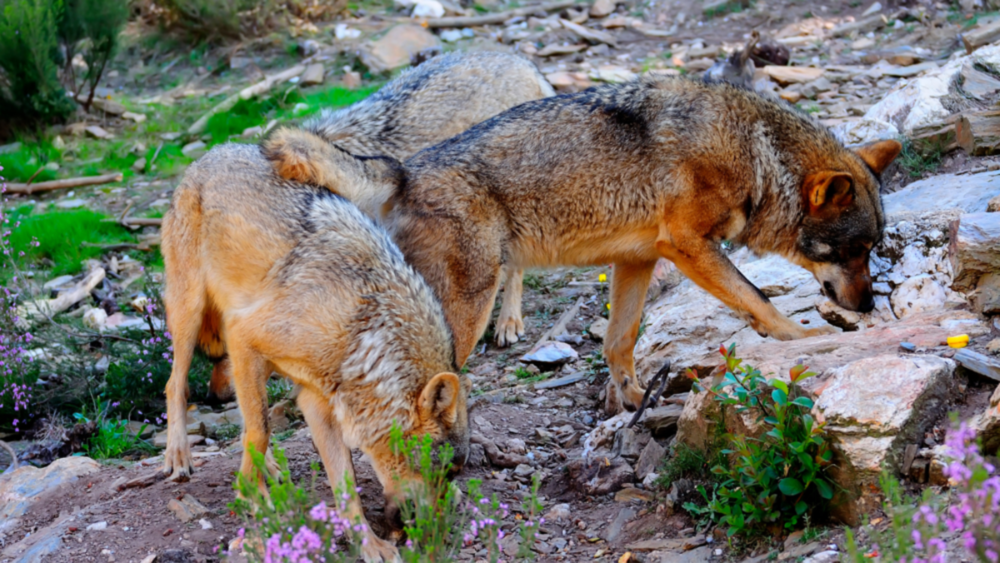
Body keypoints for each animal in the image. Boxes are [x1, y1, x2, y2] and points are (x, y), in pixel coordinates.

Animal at [161, 143, 468, 560]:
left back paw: (269, 468)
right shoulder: (244, 336)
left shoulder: (316, 400)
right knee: (177, 385)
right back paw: (179, 454)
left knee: (244, 414)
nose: (432, 537)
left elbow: (345, 483)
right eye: (443, 472)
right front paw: (253, 501)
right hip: (190, 316)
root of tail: (214, 152)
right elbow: (260, 431)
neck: (362, 322)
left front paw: (368, 543)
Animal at [262, 76, 904, 414]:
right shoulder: (688, 246)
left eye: (872, 249)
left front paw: (634, 399)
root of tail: (403, 170)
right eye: (854, 250)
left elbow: (619, 341)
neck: (755, 153)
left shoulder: (638, 258)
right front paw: (802, 337)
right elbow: (757, 299)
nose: (870, 305)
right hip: (466, 311)